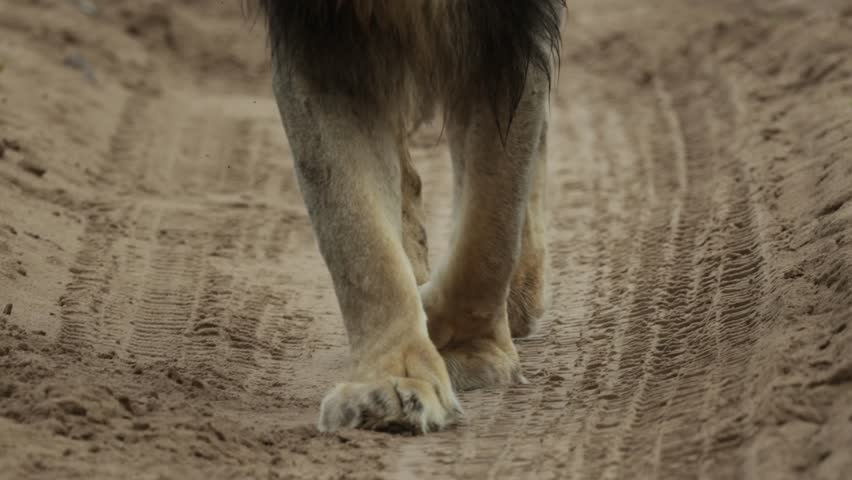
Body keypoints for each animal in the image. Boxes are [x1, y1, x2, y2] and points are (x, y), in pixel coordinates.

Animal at [255, 0, 565, 434]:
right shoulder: (320, 37)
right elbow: (358, 240)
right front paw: (391, 383)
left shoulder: (505, 30)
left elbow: (489, 229)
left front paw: (469, 352)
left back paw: (519, 297)